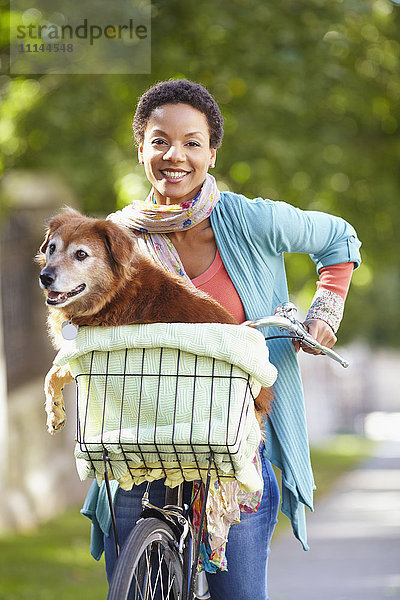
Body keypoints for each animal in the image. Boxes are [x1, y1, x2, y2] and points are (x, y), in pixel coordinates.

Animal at [37, 209, 274, 434]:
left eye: (81, 254)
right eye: (52, 248)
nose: (45, 277)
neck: (115, 293)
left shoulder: (90, 354)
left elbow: (53, 373)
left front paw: (54, 410)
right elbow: (51, 375)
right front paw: (55, 412)